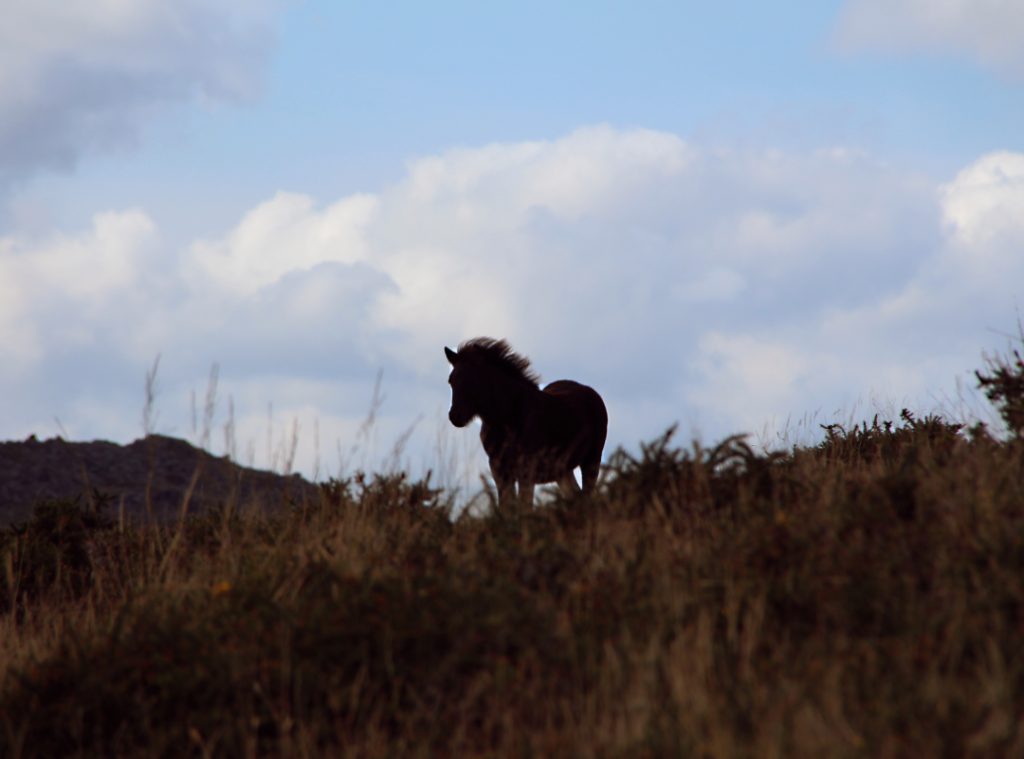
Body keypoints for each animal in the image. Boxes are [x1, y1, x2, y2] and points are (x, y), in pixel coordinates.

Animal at [442, 338, 602, 503]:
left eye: (475, 380)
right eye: (451, 380)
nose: (455, 416)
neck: (507, 417)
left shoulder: (526, 470)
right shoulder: (499, 470)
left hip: (591, 461)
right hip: (563, 471)